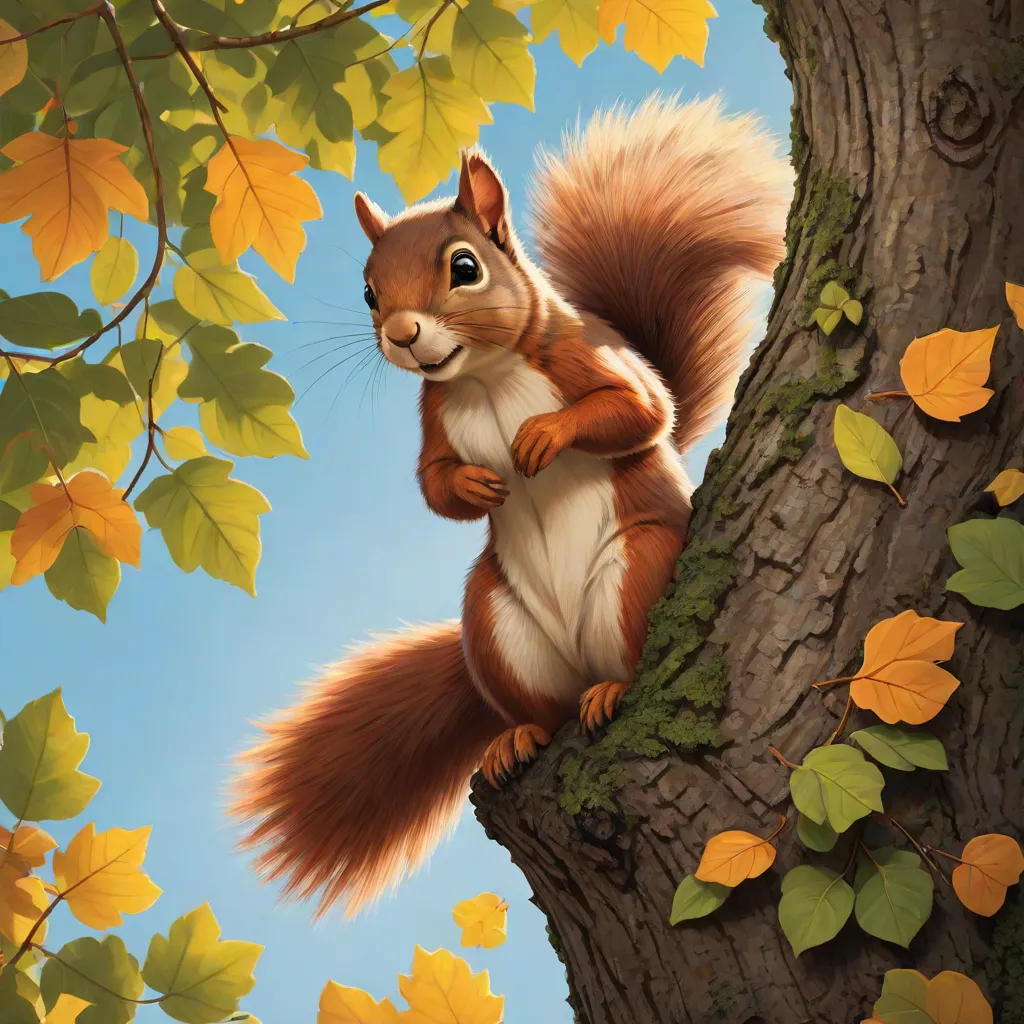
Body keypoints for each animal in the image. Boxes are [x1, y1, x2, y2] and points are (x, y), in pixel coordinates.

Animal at [231, 95, 790, 916]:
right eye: (369, 292)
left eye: (465, 268)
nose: (402, 334)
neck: (485, 374)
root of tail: (578, 666)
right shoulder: (434, 422)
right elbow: (433, 483)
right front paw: (478, 486)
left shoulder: (587, 357)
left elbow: (641, 411)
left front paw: (542, 437)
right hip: (493, 619)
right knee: (545, 713)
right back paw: (519, 737)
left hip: (637, 566)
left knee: (622, 663)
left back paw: (612, 690)